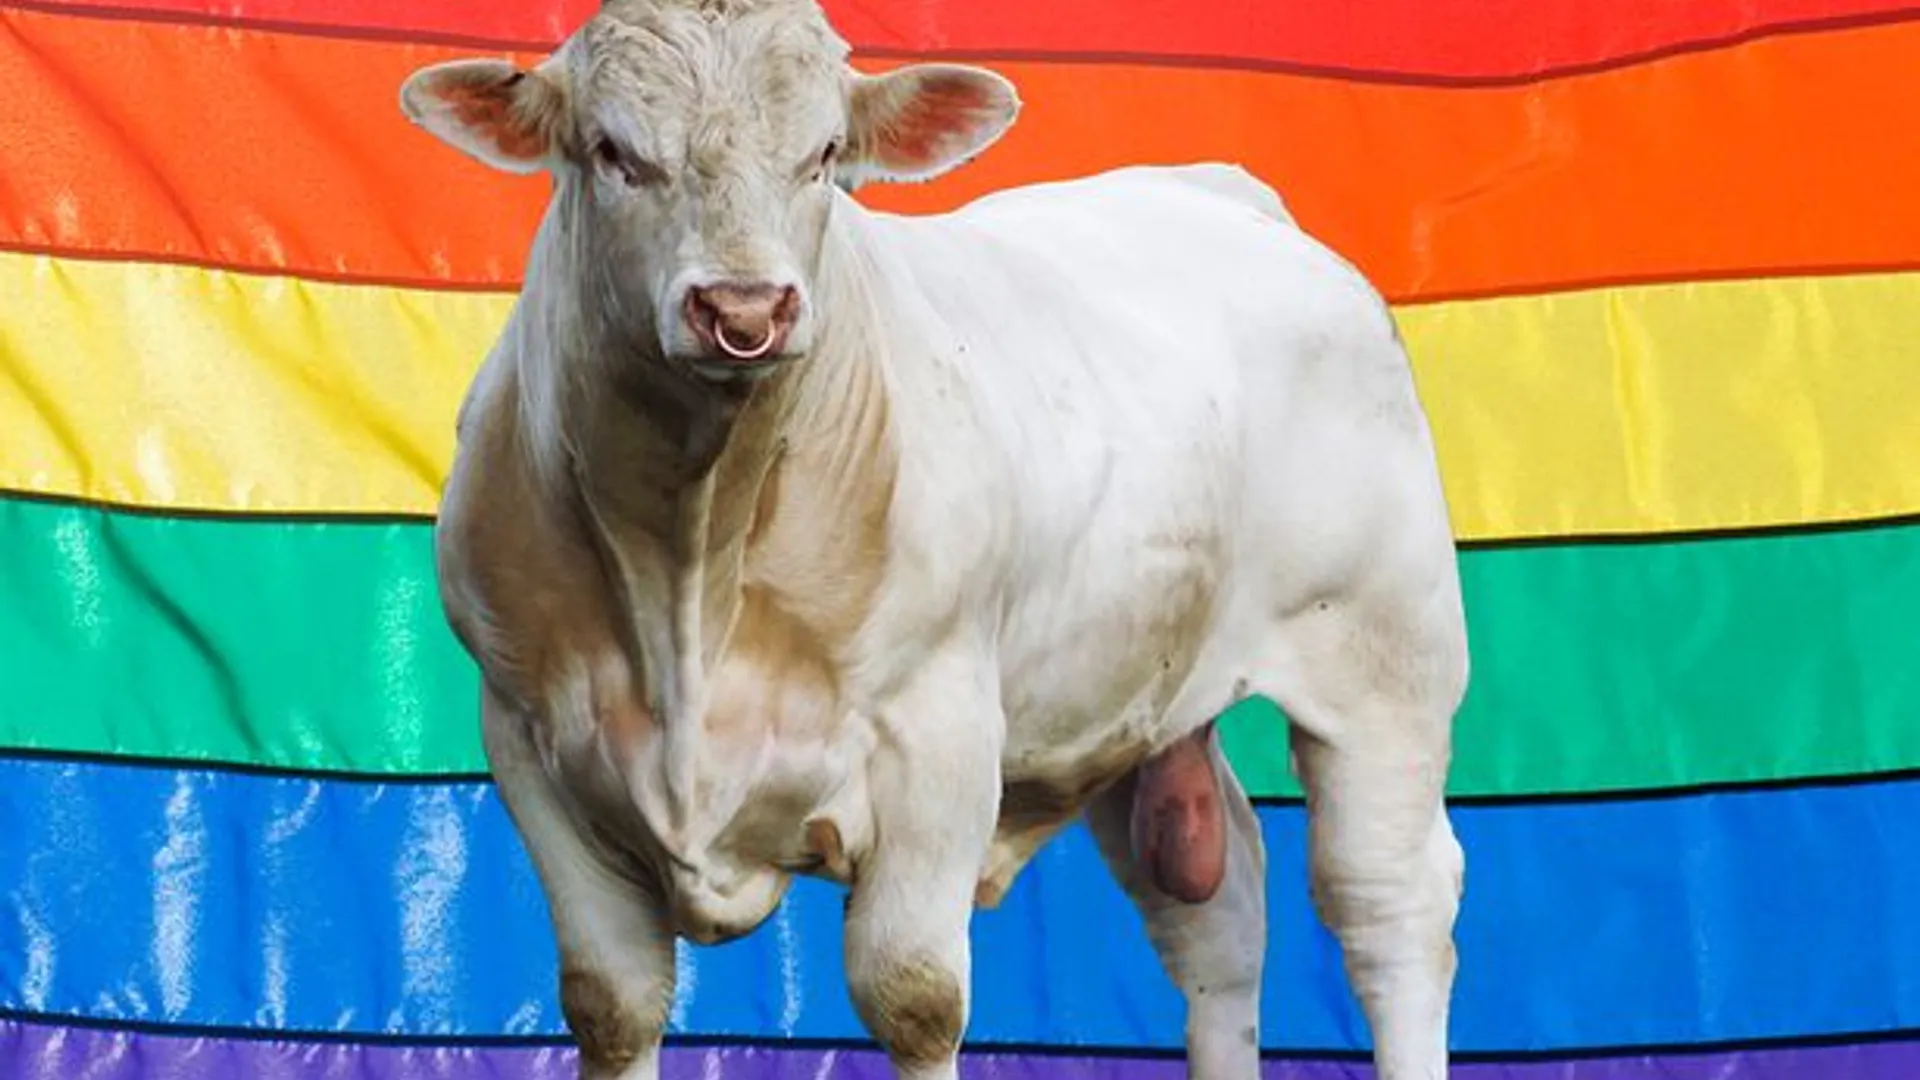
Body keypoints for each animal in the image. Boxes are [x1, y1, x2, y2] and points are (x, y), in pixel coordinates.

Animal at [398, 2, 1469, 1079]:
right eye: (613, 151)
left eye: (826, 154)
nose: (745, 309)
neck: (693, 551)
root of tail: (1222, 192)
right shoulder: (531, 744)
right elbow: (612, 1003)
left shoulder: (940, 738)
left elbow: (912, 994)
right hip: (1139, 701)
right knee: (1216, 915)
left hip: (1388, 662)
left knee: (1390, 909)